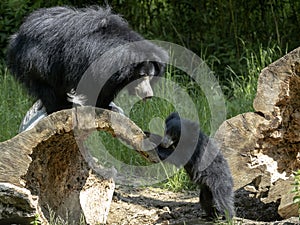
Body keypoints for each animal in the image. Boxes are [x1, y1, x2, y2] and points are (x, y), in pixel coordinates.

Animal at [7, 6, 168, 115]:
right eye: (141, 76)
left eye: (151, 76)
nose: (149, 94)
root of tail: (17, 37)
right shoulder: (90, 62)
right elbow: (91, 85)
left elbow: (107, 89)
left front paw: (106, 106)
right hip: (37, 63)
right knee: (47, 89)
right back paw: (58, 108)